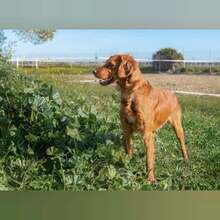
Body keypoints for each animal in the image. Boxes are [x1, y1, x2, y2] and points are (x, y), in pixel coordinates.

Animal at [92, 54, 188, 183]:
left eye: (110, 64)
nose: (93, 71)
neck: (131, 93)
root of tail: (172, 93)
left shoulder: (146, 134)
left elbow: (149, 160)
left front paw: (151, 179)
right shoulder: (127, 130)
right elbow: (129, 151)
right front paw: (128, 166)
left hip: (177, 126)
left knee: (182, 144)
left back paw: (186, 160)